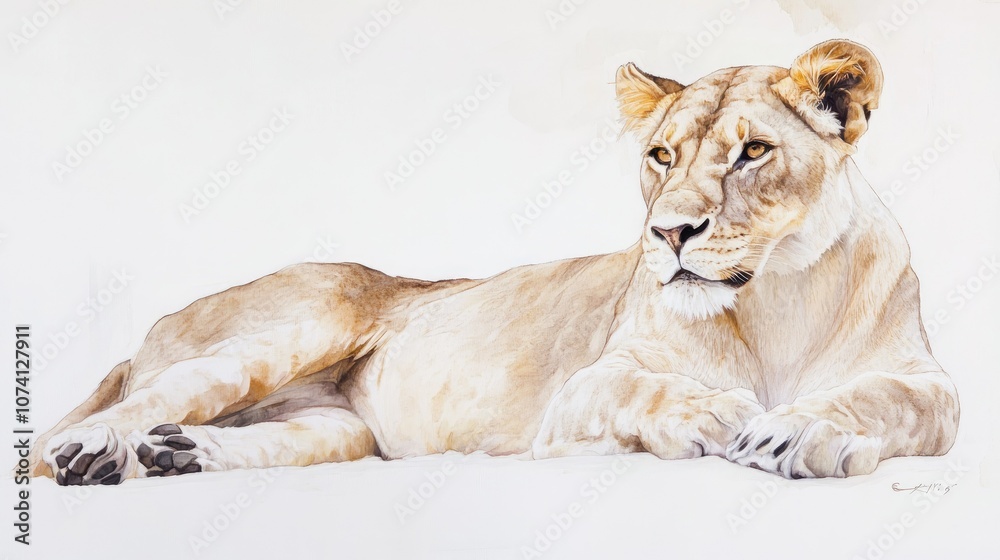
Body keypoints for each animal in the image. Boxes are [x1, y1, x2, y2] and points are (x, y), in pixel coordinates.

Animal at [31, 39, 959, 484]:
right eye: (661, 156)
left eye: (754, 153)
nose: (668, 233)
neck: (778, 300)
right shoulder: (583, 393)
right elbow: (653, 389)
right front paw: (722, 416)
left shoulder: (930, 385)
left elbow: (893, 400)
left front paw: (801, 429)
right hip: (297, 324)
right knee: (89, 424)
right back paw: (90, 452)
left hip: (338, 430)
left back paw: (170, 455)